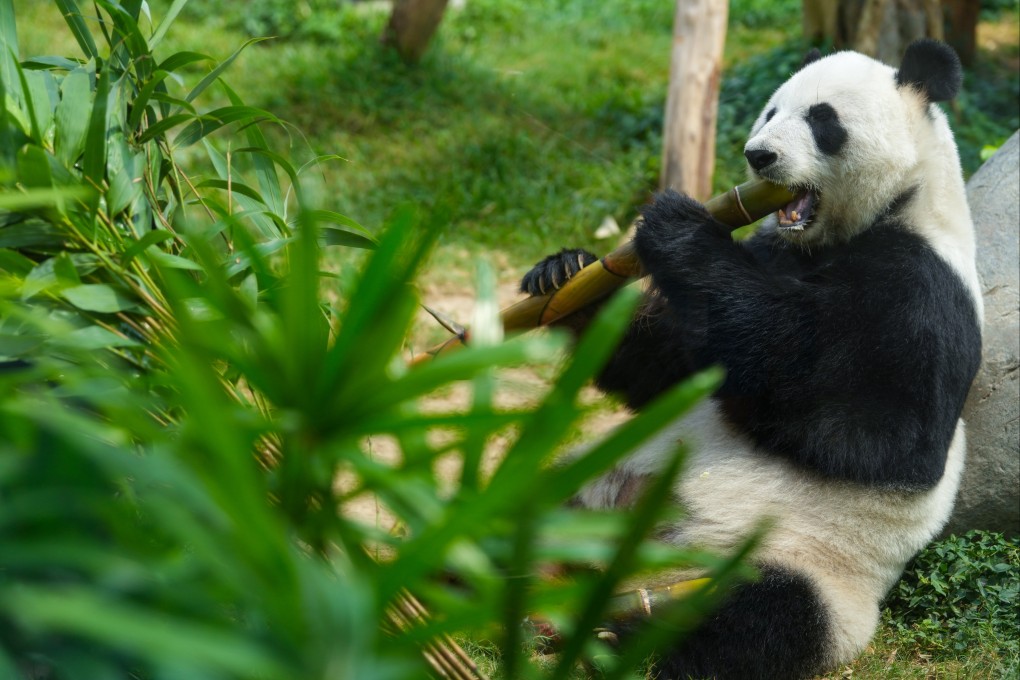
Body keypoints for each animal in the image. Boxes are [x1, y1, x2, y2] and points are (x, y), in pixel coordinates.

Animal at [520, 40, 983, 680]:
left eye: (822, 120)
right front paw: (565, 277)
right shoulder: (774, 253)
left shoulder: (925, 295)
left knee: (754, 619)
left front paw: (676, 226)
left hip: (802, 570)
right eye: (770, 112)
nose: (758, 156)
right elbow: (673, 368)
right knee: (521, 510)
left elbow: (875, 433)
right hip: (591, 484)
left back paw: (617, 638)